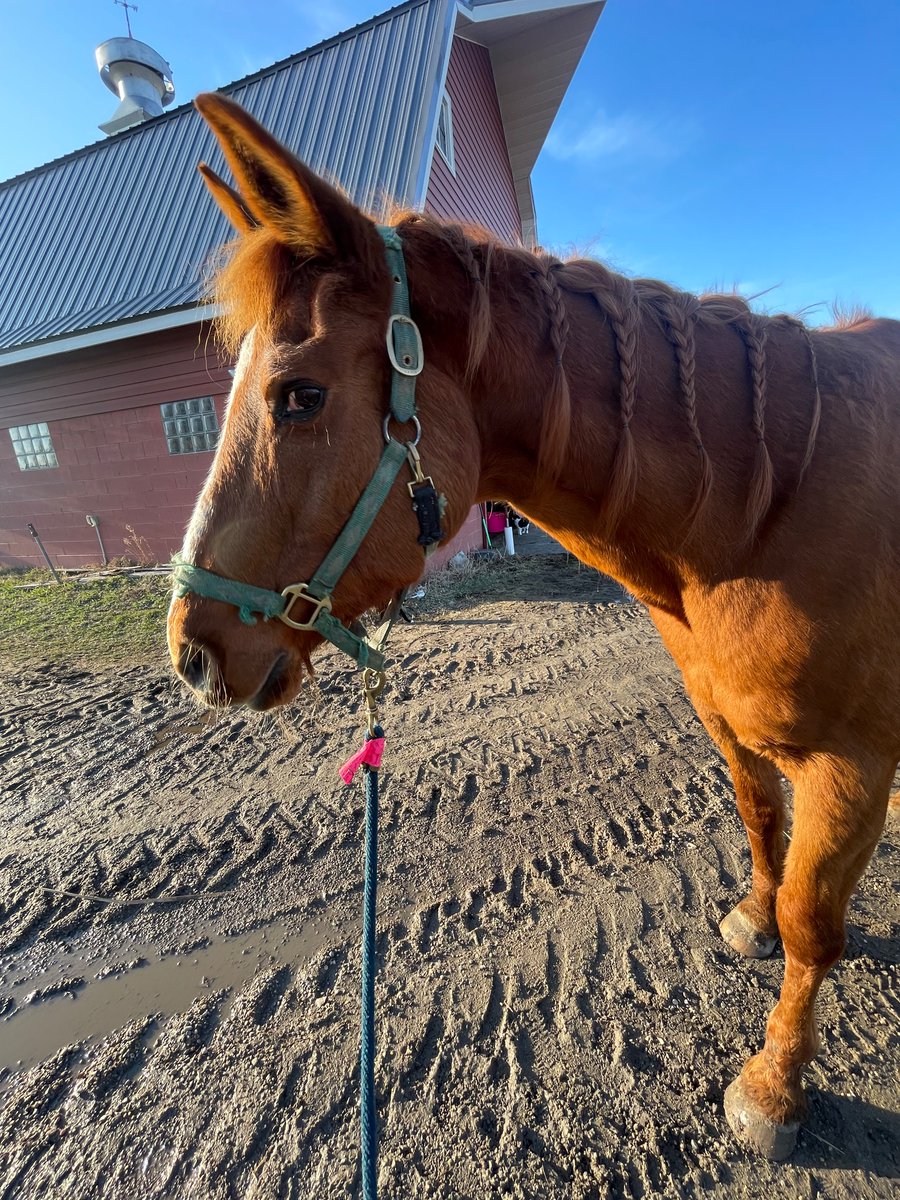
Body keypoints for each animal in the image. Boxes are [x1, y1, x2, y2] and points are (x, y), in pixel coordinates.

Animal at [167, 92, 900, 1161]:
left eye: (298, 396)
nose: (192, 649)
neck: (770, 499)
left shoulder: (851, 766)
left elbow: (814, 923)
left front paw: (774, 1086)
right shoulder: (728, 721)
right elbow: (760, 821)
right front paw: (752, 922)